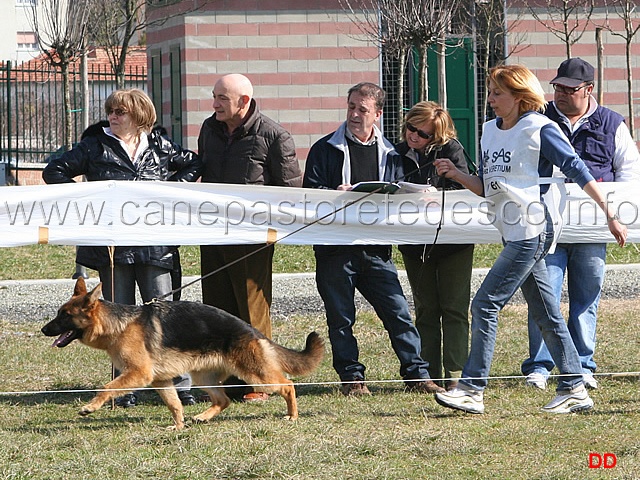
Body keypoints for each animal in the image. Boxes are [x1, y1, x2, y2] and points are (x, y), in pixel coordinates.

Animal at [42, 276, 324, 430]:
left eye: (64, 316)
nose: (43, 329)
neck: (119, 325)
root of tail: (252, 331)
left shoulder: (139, 374)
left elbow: (107, 387)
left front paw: (90, 407)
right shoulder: (160, 380)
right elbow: (174, 404)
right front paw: (178, 427)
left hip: (256, 374)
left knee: (288, 385)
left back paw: (292, 415)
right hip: (203, 377)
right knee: (223, 400)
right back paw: (201, 417)